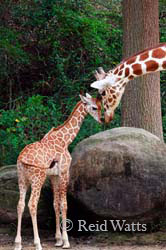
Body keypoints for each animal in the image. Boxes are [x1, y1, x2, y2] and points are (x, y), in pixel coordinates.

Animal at [14, 93, 102, 250]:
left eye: (100, 105)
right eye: (94, 107)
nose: (101, 119)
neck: (65, 140)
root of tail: (21, 159)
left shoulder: (53, 176)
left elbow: (55, 204)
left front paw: (58, 239)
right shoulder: (64, 173)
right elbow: (64, 205)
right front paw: (66, 241)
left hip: (22, 179)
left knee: (20, 205)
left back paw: (17, 243)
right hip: (37, 178)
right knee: (32, 204)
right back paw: (37, 243)